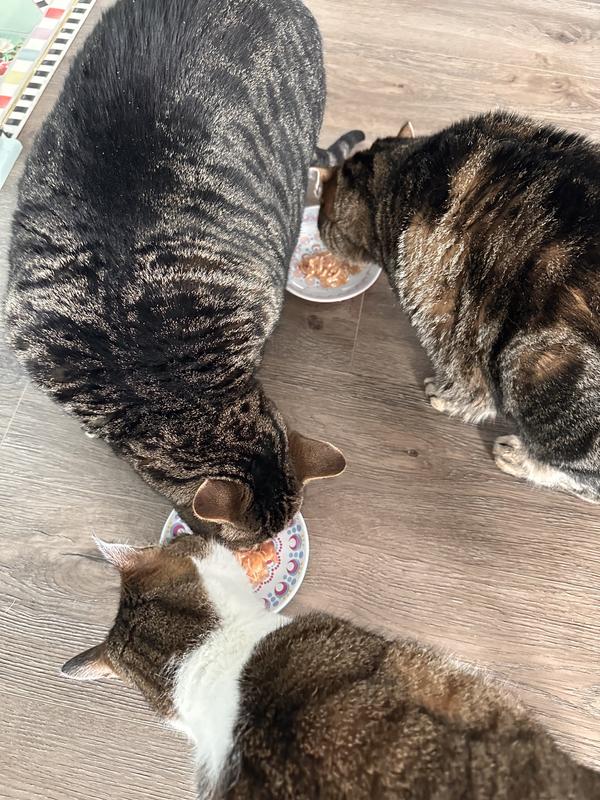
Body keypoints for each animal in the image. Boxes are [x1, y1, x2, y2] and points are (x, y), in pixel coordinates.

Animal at [318, 111, 600, 502]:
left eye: (321, 215)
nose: (317, 229)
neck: (399, 170)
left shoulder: (442, 314)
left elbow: (469, 386)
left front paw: (446, 397)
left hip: (538, 365)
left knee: (586, 480)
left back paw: (522, 459)